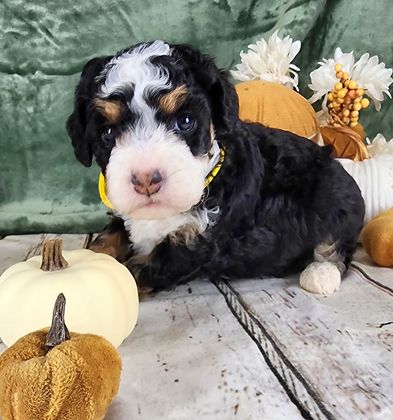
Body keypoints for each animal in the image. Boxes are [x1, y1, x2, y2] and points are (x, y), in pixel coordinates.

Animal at [66, 41, 362, 294]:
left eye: (185, 121)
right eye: (107, 133)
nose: (146, 179)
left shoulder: (198, 243)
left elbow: (139, 270)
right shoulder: (126, 216)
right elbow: (108, 238)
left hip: (337, 203)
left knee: (335, 246)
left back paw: (320, 274)